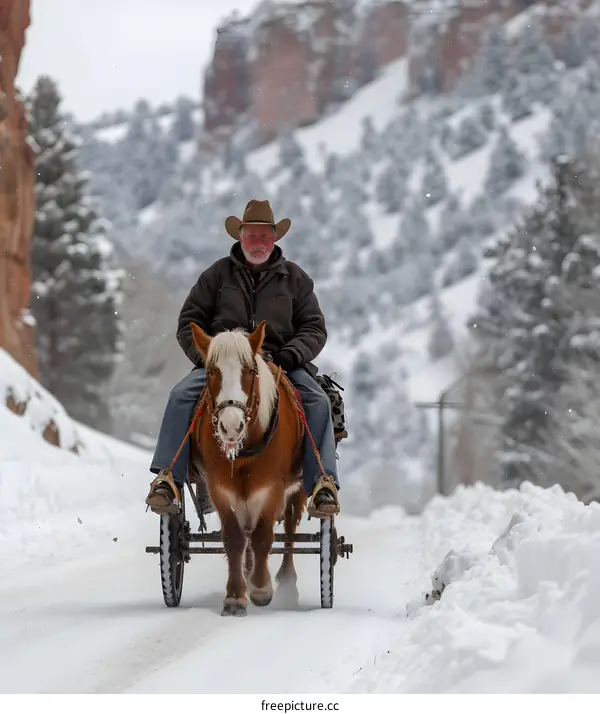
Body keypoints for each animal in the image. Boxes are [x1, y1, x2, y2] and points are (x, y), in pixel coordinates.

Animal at [189, 319, 307, 617]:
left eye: (250, 371)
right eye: (211, 372)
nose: (231, 425)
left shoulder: (272, 487)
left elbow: (263, 536)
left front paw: (261, 589)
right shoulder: (220, 488)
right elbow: (235, 538)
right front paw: (234, 597)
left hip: (297, 488)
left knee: (290, 529)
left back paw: (286, 580)